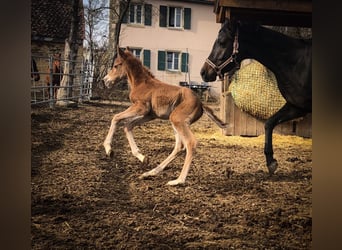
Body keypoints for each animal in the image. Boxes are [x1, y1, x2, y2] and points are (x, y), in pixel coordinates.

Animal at [103, 47, 227, 185]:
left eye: (116, 66)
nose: (106, 80)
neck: (141, 83)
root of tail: (201, 104)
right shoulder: (149, 114)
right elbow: (128, 125)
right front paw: (142, 157)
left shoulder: (141, 107)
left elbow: (116, 118)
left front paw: (109, 149)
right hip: (176, 122)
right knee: (179, 146)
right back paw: (151, 172)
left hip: (177, 120)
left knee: (190, 143)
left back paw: (178, 181)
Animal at [200, 19, 312, 175]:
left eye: (222, 42)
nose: (203, 72)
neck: (296, 62)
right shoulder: (297, 106)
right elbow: (269, 123)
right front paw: (271, 162)